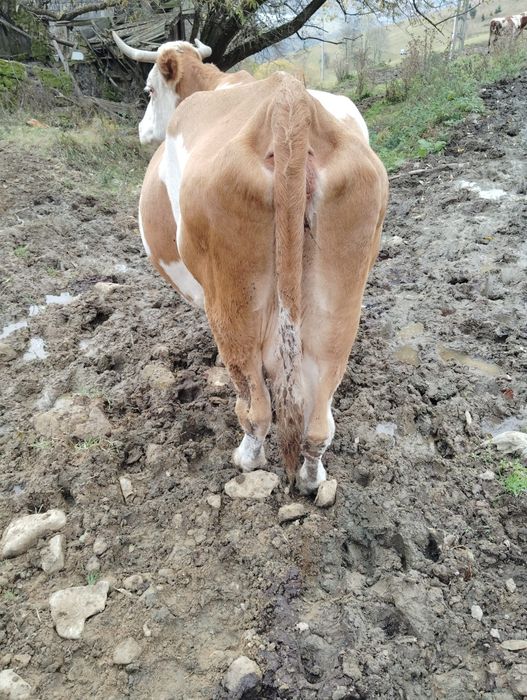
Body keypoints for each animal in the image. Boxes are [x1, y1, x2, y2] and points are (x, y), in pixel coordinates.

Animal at [113, 33, 388, 495]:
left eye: (149, 91)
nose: (140, 130)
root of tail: (288, 102)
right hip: (340, 303)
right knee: (319, 416)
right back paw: (312, 477)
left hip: (233, 300)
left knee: (255, 404)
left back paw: (247, 458)